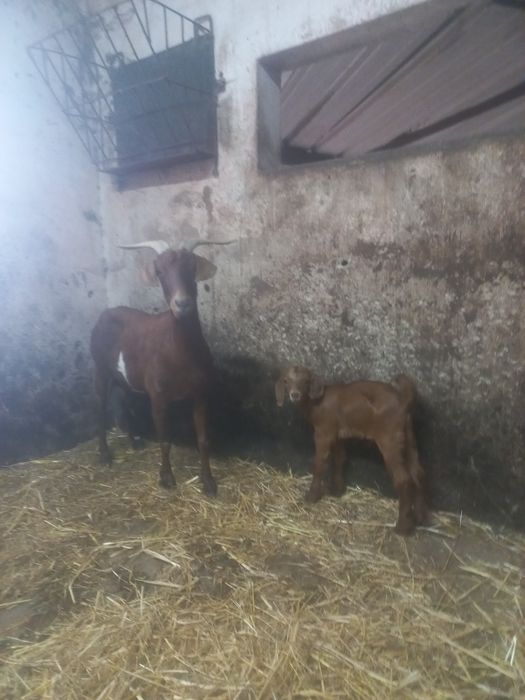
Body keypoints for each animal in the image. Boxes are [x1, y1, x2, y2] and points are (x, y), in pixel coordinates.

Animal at [90, 238, 233, 496]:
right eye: (159, 272)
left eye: (192, 267)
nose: (182, 303)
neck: (179, 350)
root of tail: (107, 312)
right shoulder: (158, 397)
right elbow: (165, 440)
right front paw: (166, 478)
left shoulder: (201, 394)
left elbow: (203, 439)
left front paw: (208, 482)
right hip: (99, 366)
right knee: (100, 406)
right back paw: (105, 456)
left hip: (125, 375)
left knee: (125, 397)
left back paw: (135, 440)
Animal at [275, 366, 428, 535]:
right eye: (286, 381)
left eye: (306, 381)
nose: (294, 394)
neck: (316, 404)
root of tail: (403, 402)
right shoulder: (337, 435)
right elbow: (339, 458)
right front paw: (337, 490)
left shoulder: (324, 432)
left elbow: (320, 463)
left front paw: (311, 496)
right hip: (409, 435)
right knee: (418, 472)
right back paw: (420, 518)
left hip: (390, 438)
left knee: (403, 479)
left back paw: (402, 527)